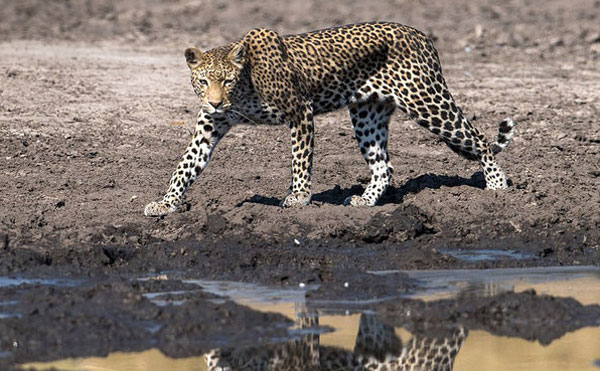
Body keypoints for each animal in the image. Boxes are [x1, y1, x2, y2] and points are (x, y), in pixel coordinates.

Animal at [143, 21, 512, 218]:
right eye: (204, 81)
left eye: (227, 80)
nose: (216, 101)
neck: (245, 87)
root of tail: (421, 35)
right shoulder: (209, 127)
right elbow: (184, 166)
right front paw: (166, 203)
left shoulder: (300, 111)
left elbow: (300, 160)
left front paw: (298, 197)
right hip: (366, 114)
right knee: (384, 166)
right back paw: (365, 200)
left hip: (427, 102)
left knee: (480, 139)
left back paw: (497, 186)